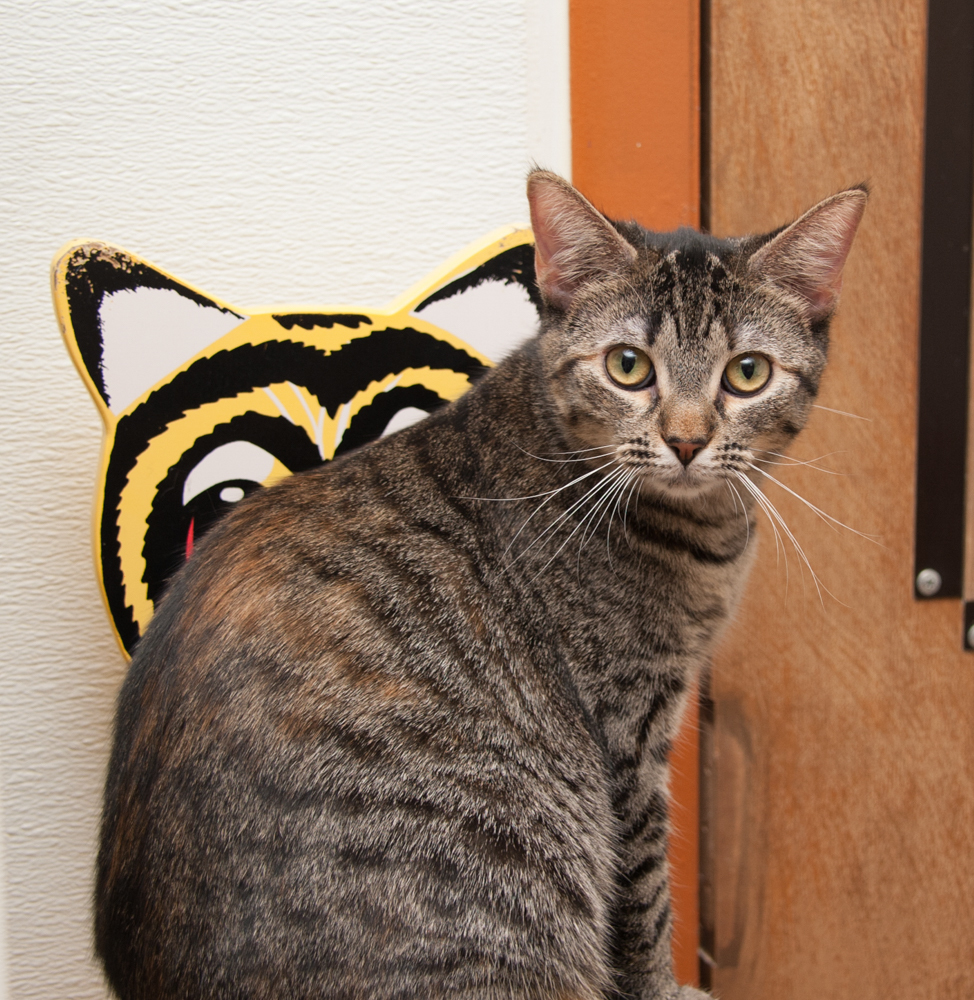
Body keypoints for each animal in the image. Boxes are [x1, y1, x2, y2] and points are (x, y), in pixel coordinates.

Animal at [95, 168, 864, 996]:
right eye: (628, 366)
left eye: (747, 373)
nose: (686, 441)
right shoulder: (627, 731)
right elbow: (646, 900)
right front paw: (663, 986)